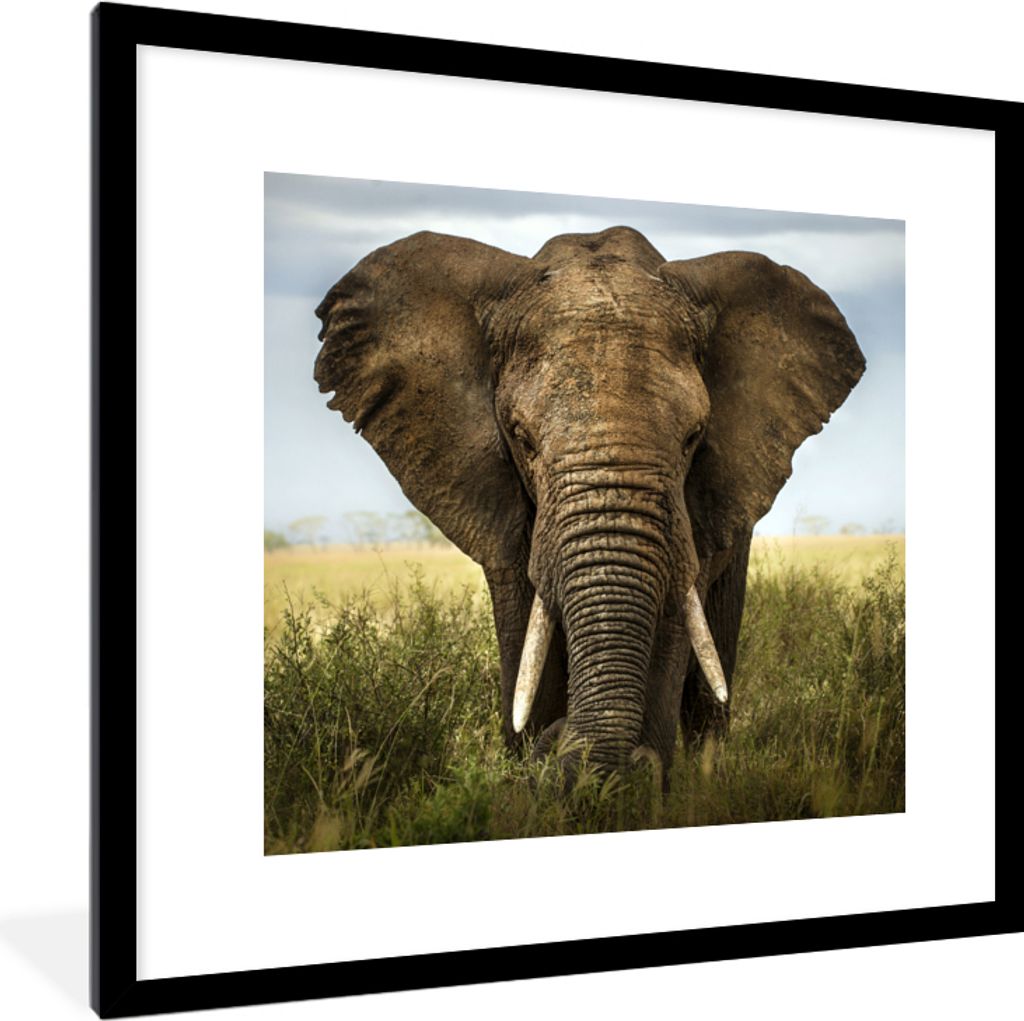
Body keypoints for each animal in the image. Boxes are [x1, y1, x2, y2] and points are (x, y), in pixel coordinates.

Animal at [314, 226, 865, 781]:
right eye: (522, 439)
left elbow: (673, 619)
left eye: (693, 438)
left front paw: (634, 779)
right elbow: (524, 622)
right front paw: (534, 764)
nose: (559, 743)